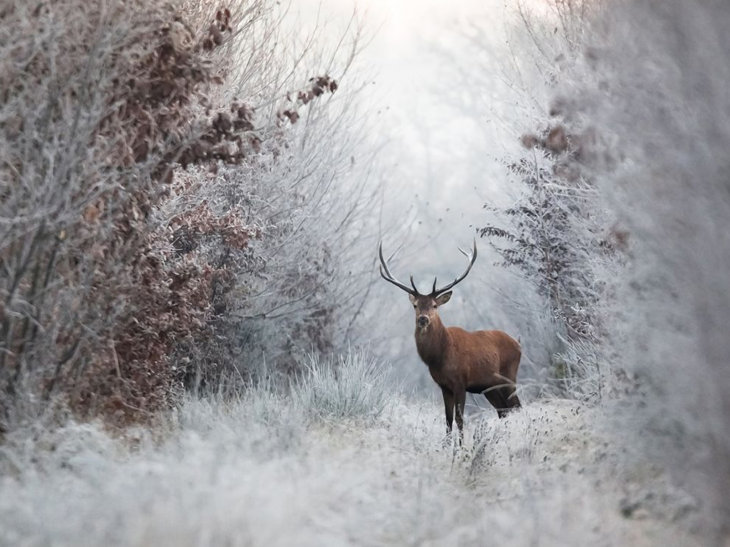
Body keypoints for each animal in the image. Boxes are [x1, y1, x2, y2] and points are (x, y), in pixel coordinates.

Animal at [378, 240, 520, 440]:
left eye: (434, 305)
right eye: (415, 305)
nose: (423, 319)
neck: (439, 357)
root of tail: (518, 344)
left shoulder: (461, 381)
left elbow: (459, 419)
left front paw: (461, 447)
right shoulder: (444, 386)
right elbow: (447, 420)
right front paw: (446, 445)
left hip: (509, 376)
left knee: (516, 406)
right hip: (490, 387)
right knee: (504, 410)